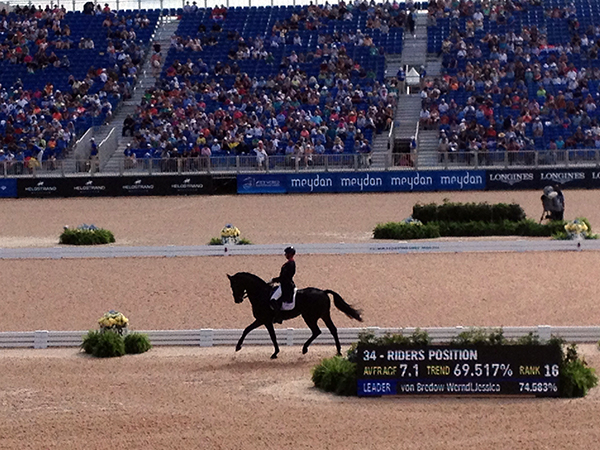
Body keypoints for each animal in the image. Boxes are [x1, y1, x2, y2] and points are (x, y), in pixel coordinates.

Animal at [229, 270, 360, 358]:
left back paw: (305, 349)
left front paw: (274, 353)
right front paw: (238, 346)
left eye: (234, 285)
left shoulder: (264, 320)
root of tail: (323, 292)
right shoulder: (262, 320)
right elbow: (248, 329)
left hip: (310, 317)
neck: (261, 294)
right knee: (331, 330)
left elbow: (268, 335)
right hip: (323, 315)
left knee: (317, 331)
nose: (237, 300)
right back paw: (338, 351)